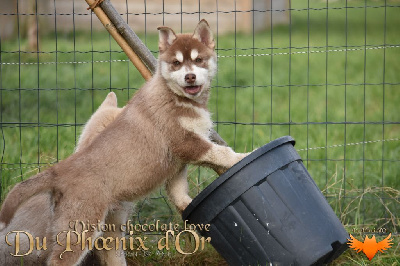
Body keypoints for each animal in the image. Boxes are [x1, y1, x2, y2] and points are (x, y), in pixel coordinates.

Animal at [0, 19, 248, 266]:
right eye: (176, 63)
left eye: (198, 60)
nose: (190, 77)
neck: (177, 99)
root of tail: (59, 170)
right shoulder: (185, 143)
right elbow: (221, 152)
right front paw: (242, 157)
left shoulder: (176, 166)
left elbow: (179, 196)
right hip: (82, 227)